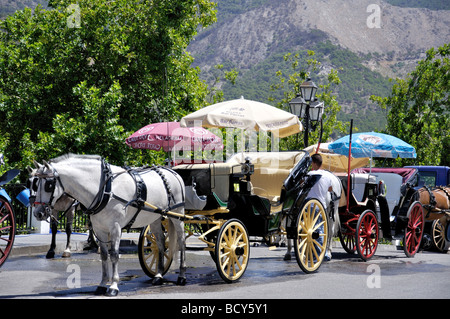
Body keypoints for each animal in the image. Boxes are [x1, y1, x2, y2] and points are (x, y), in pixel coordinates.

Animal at [32, 155, 185, 298]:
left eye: (49, 185)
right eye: (35, 184)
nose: (38, 213)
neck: (105, 189)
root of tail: (173, 172)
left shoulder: (115, 228)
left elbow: (115, 255)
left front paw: (113, 286)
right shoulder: (100, 229)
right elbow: (105, 255)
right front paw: (102, 284)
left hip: (177, 215)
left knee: (181, 242)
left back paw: (181, 276)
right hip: (155, 218)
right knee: (160, 243)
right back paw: (158, 275)